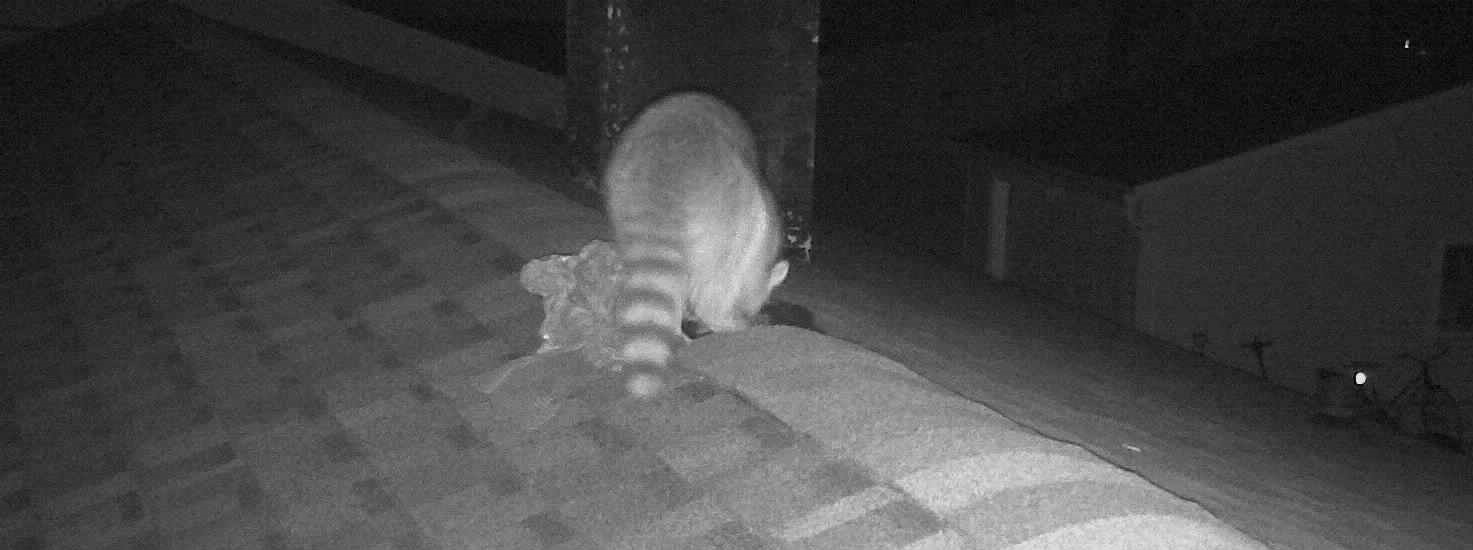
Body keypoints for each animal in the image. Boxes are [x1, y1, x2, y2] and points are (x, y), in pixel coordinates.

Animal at [603, 92, 790, 398]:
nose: (747, 312)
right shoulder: (760, 237)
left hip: (618, 196)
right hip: (735, 210)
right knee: (717, 283)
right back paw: (721, 319)